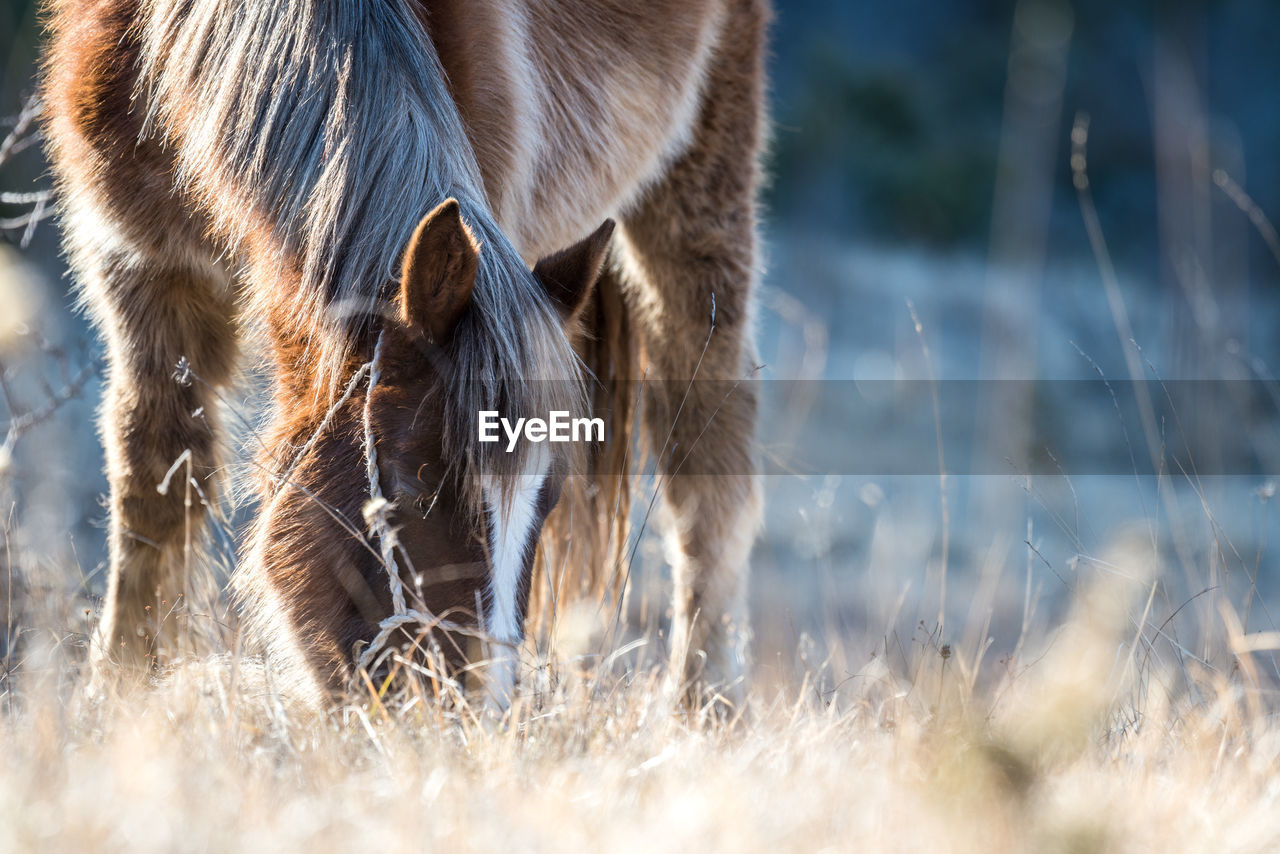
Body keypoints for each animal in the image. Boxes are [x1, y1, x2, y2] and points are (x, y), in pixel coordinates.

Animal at [42, 0, 768, 706]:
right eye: (413, 489)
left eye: (550, 497)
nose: (475, 713)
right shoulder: (137, 262)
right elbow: (157, 480)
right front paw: (121, 690)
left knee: (705, 468)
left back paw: (706, 706)